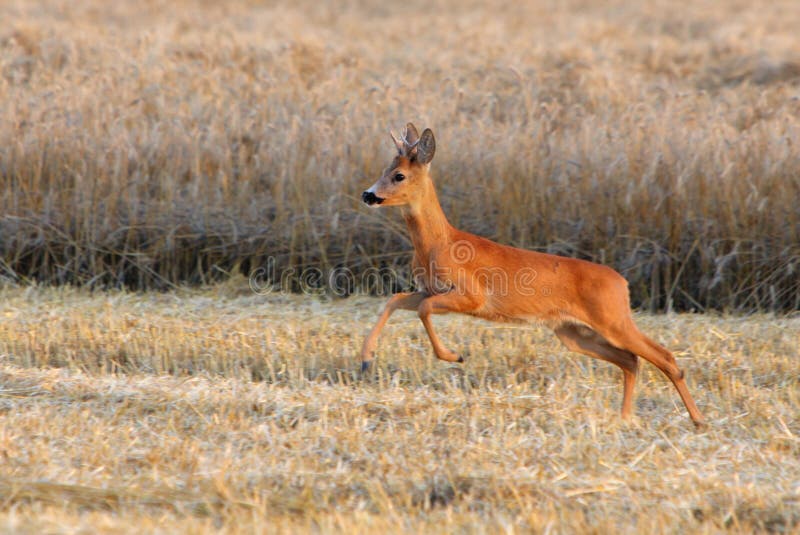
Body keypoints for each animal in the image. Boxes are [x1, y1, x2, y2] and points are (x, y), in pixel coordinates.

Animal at [360, 122, 704, 428]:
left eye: (399, 175)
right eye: (384, 169)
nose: (368, 195)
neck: (440, 243)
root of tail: (622, 283)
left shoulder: (473, 296)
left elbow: (422, 309)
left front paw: (455, 356)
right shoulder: (430, 289)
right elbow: (395, 299)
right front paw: (366, 358)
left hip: (612, 319)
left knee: (664, 357)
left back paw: (698, 420)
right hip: (574, 333)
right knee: (631, 361)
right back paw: (625, 417)